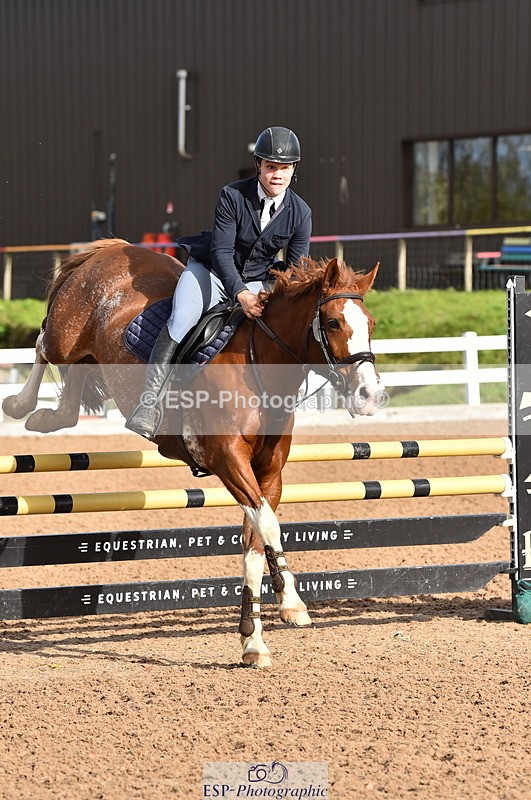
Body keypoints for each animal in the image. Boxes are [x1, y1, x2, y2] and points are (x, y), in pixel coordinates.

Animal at [3, 239, 382, 667]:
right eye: (333, 323)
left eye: (370, 324)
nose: (370, 396)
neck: (260, 370)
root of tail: (112, 248)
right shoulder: (227, 460)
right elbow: (269, 528)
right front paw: (293, 604)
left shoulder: (268, 474)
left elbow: (255, 542)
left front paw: (253, 641)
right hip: (66, 335)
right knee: (42, 344)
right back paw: (18, 404)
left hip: (87, 353)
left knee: (72, 386)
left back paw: (49, 417)